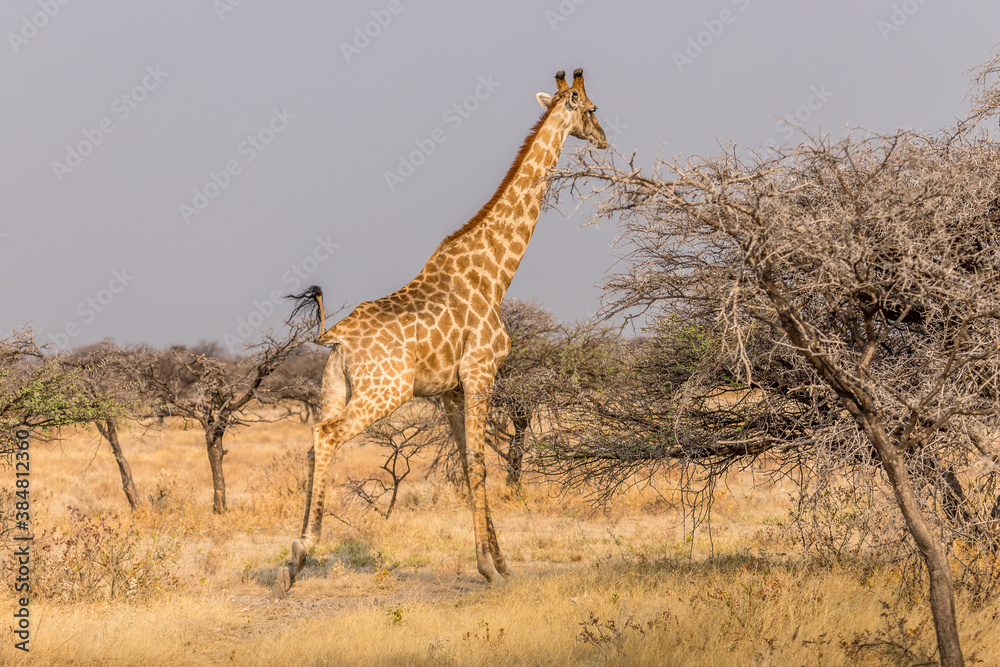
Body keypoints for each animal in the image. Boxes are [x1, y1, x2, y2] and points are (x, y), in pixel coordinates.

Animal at [275, 68, 607, 595]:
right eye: (592, 109)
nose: (604, 139)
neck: (496, 273)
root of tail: (335, 338)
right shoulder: (481, 371)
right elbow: (478, 463)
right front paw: (488, 567)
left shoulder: (451, 389)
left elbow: (470, 462)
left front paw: (502, 563)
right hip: (385, 391)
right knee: (326, 436)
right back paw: (299, 553)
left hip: (333, 388)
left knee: (312, 443)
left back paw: (295, 557)